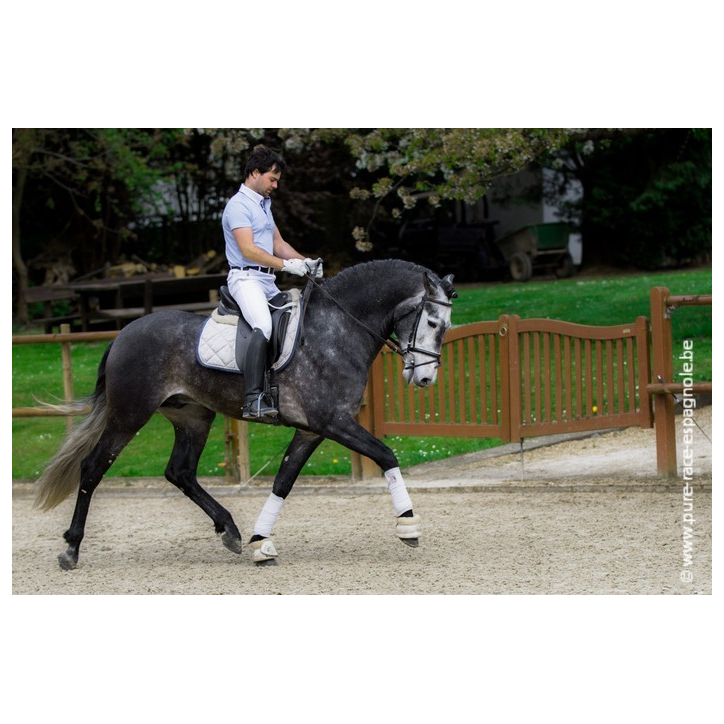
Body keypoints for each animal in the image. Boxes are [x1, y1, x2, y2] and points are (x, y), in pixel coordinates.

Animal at [34, 259, 457, 570]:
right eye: (433, 322)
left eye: (446, 326)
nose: (424, 378)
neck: (338, 330)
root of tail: (124, 333)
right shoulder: (334, 422)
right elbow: (386, 454)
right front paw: (408, 526)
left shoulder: (312, 430)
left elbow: (283, 482)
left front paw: (260, 542)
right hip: (129, 415)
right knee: (92, 468)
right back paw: (71, 549)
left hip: (193, 417)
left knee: (180, 472)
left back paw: (230, 530)